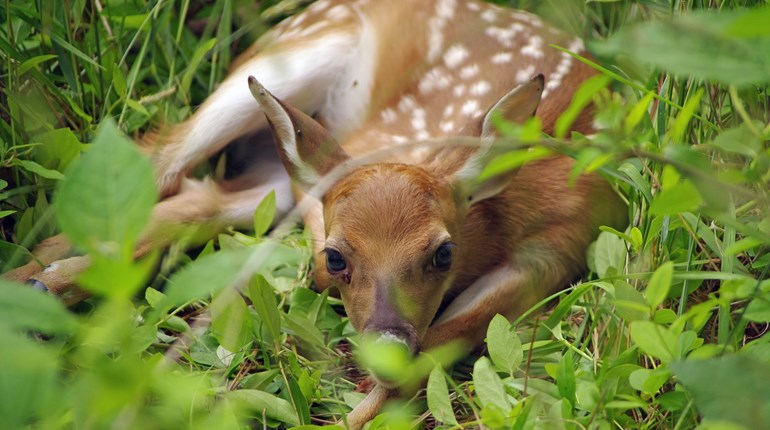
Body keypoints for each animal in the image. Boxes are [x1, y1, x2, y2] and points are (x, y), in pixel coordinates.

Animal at [4, 0, 627, 427]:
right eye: (339, 256)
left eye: (443, 253)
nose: (384, 344)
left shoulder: (552, 255)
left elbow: (433, 352)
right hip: (293, 58)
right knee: (164, 157)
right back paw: (36, 281)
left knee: (204, 195)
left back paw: (42, 286)